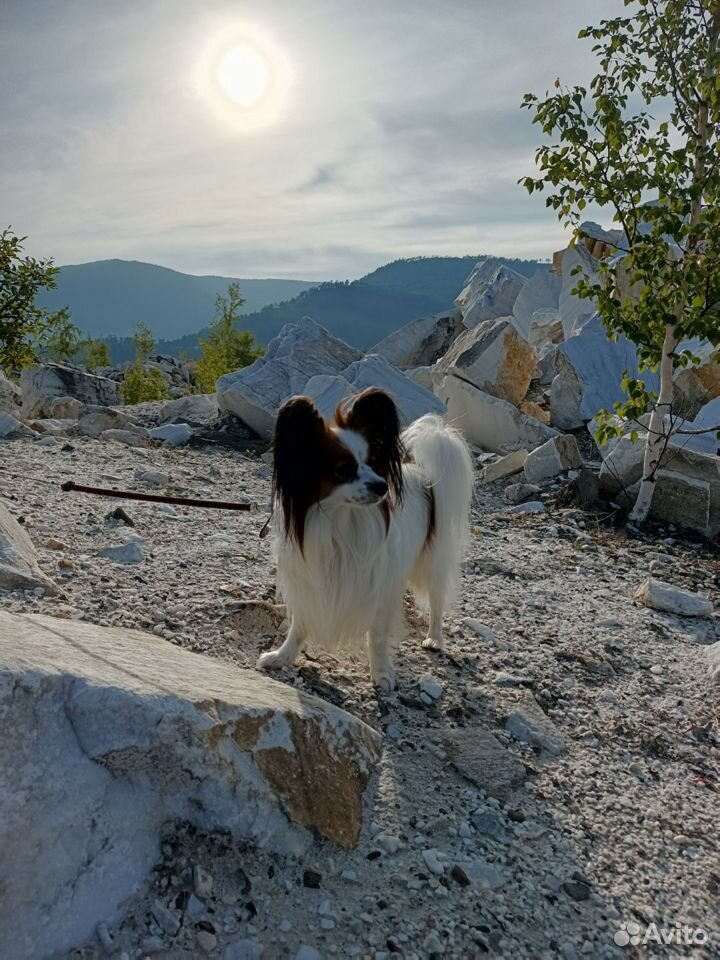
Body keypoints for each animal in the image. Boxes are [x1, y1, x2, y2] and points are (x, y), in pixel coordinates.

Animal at [258, 386, 472, 692]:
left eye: (372, 463)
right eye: (343, 469)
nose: (382, 486)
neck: (341, 521)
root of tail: (422, 473)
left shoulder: (379, 587)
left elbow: (378, 635)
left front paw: (381, 672)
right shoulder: (310, 581)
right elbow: (299, 624)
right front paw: (282, 656)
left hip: (433, 562)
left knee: (436, 599)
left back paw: (434, 638)